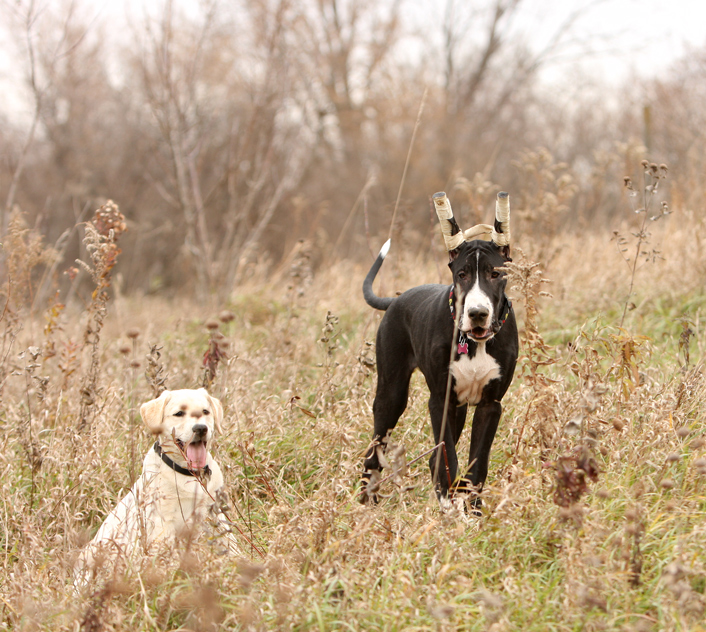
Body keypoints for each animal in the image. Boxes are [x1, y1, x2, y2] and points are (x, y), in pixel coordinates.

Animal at [74, 388, 235, 584]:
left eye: (206, 412)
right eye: (179, 413)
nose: (200, 428)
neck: (189, 474)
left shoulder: (213, 513)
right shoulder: (162, 523)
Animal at [360, 191, 520, 508]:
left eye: (495, 274)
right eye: (462, 274)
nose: (478, 313)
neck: (475, 343)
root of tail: (395, 300)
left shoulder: (490, 405)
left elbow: (476, 463)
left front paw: (473, 509)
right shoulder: (440, 401)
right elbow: (448, 458)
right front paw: (449, 503)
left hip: (458, 409)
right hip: (391, 395)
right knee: (375, 450)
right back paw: (366, 500)